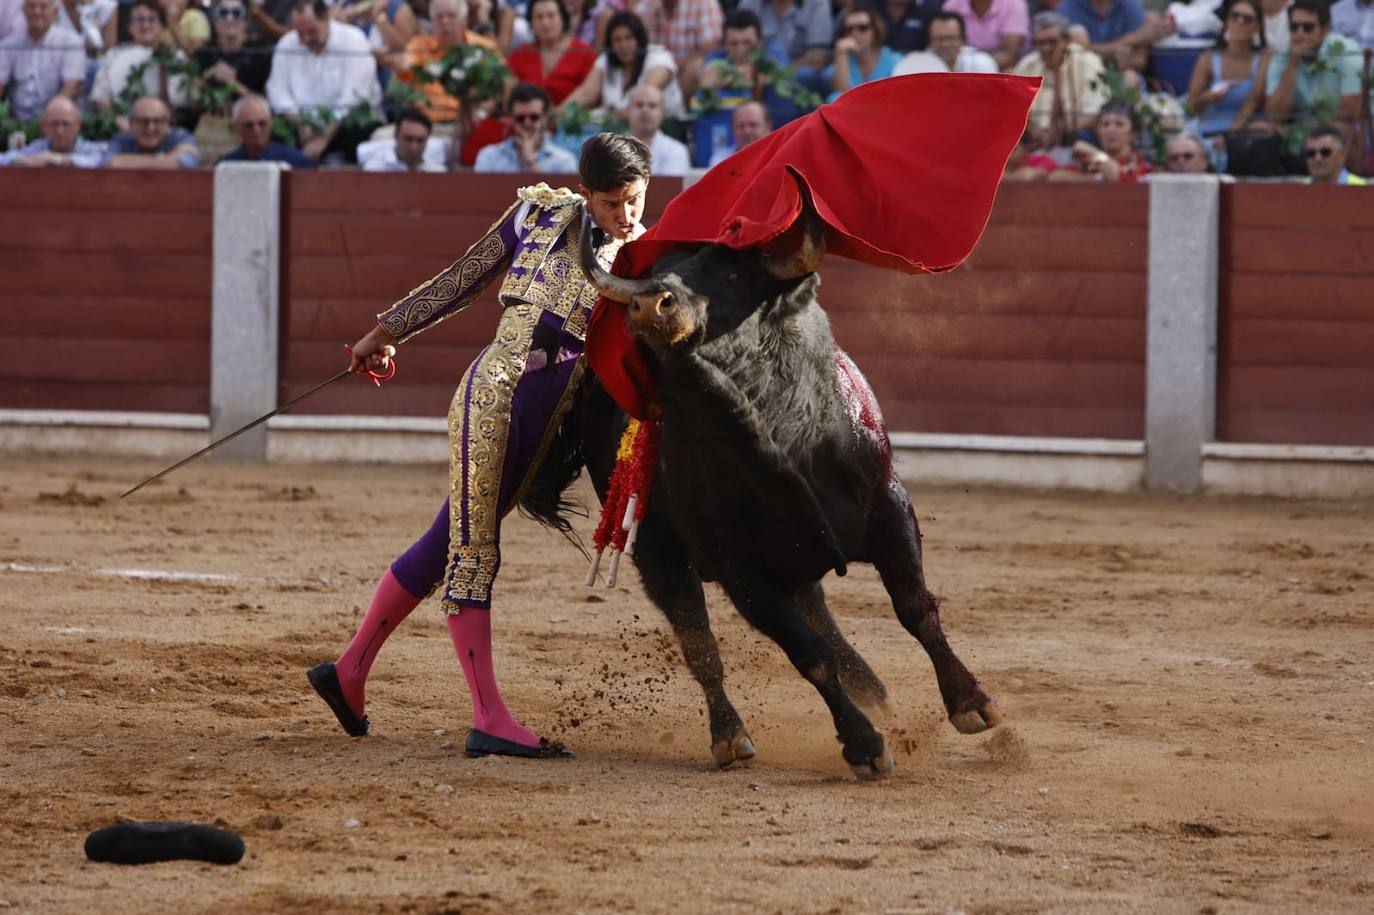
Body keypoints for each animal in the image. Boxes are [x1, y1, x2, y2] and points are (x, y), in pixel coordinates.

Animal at [522, 179, 1000, 774]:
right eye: (664, 269)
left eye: (732, 275)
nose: (650, 303)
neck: (778, 439)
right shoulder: (739, 568)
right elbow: (808, 655)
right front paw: (863, 746)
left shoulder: (890, 509)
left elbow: (915, 609)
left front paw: (970, 703)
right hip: (657, 548)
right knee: (702, 644)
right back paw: (731, 737)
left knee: (819, 612)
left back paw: (877, 696)